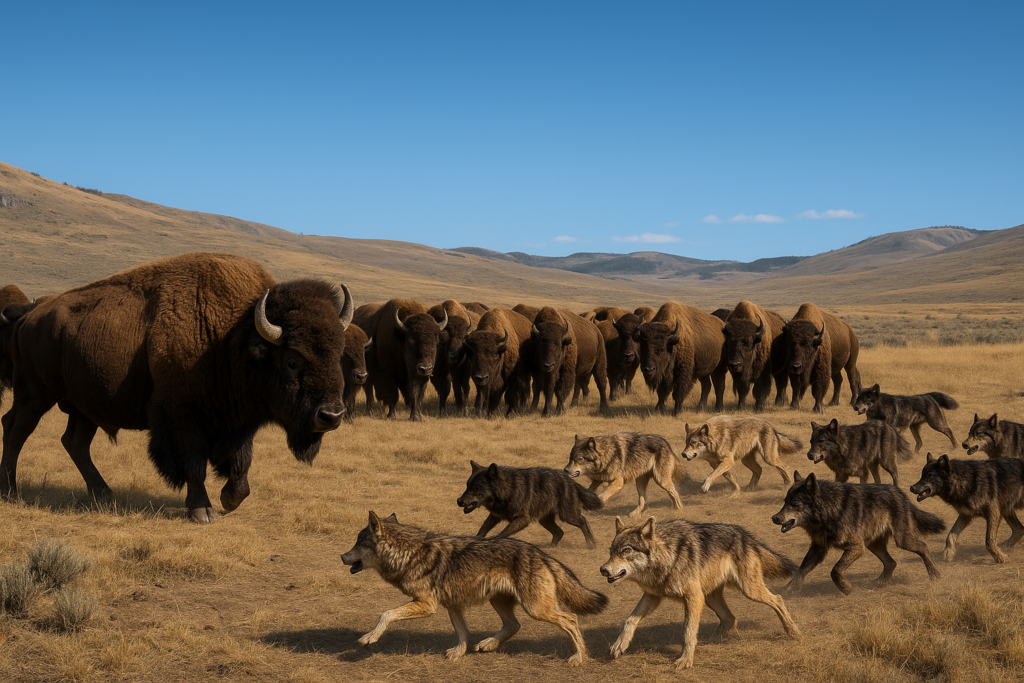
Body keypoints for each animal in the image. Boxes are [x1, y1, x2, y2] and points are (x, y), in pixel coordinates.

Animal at [1, 253, 352, 523]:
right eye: (292, 360)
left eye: (338, 353)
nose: (331, 416)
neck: (235, 334)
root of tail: (29, 316)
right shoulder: (181, 415)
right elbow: (194, 464)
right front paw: (202, 512)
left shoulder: (239, 422)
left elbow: (241, 466)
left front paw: (229, 499)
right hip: (35, 395)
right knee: (16, 429)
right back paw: (10, 491)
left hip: (84, 406)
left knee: (74, 442)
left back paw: (104, 493)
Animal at [341, 512, 608, 667]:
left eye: (358, 542)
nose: (342, 556)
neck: (408, 553)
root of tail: (542, 554)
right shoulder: (452, 605)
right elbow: (462, 633)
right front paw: (458, 654)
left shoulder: (427, 605)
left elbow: (385, 614)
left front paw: (369, 637)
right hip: (500, 601)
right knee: (514, 625)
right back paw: (489, 644)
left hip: (536, 609)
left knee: (571, 619)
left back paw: (579, 657)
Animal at [457, 461, 602, 548]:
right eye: (467, 486)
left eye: (477, 487)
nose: (459, 501)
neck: (508, 490)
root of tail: (570, 481)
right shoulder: (495, 516)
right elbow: (482, 530)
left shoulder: (523, 519)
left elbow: (501, 534)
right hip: (544, 520)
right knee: (559, 532)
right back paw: (551, 548)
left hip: (567, 516)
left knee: (583, 520)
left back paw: (591, 544)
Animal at [600, 516, 801, 670]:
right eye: (611, 552)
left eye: (626, 550)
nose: (603, 569)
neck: (668, 555)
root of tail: (745, 534)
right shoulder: (653, 596)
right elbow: (629, 620)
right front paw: (619, 645)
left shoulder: (693, 597)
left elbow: (688, 631)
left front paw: (685, 660)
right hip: (710, 597)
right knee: (730, 618)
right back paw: (719, 637)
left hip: (748, 590)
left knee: (778, 599)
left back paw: (793, 632)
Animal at [771, 471, 943, 594]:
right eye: (784, 501)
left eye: (795, 503)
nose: (774, 518)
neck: (828, 510)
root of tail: (901, 494)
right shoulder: (819, 548)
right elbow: (801, 569)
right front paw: (788, 589)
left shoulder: (856, 547)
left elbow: (835, 570)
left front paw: (846, 588)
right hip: (873, 545)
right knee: (891, 562)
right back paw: (879, 583)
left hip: (902, 541)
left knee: (923, 547)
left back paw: (935, 575)